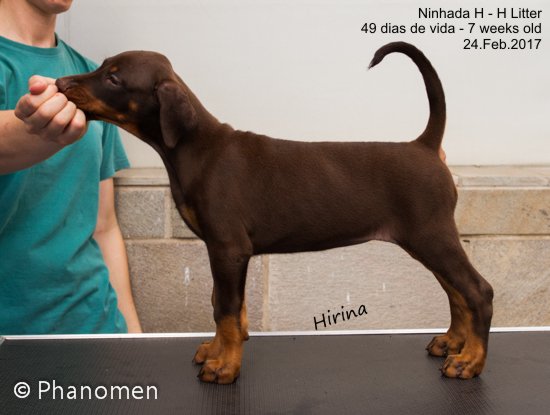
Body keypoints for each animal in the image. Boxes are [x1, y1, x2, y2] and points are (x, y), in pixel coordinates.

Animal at [56, 42, 493, 384]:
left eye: (114, 78)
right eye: (102, 65)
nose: (60, 85)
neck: (194, 148)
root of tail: (424, 144)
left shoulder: (228, 247)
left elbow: (226, 309)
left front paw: (224, 367)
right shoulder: (225, 251)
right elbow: (224, 305)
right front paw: (215, 351)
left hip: (431, 235)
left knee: (477, 291)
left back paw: (470, 361)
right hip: (426, 240)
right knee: (456, 291)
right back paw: (452, 343)